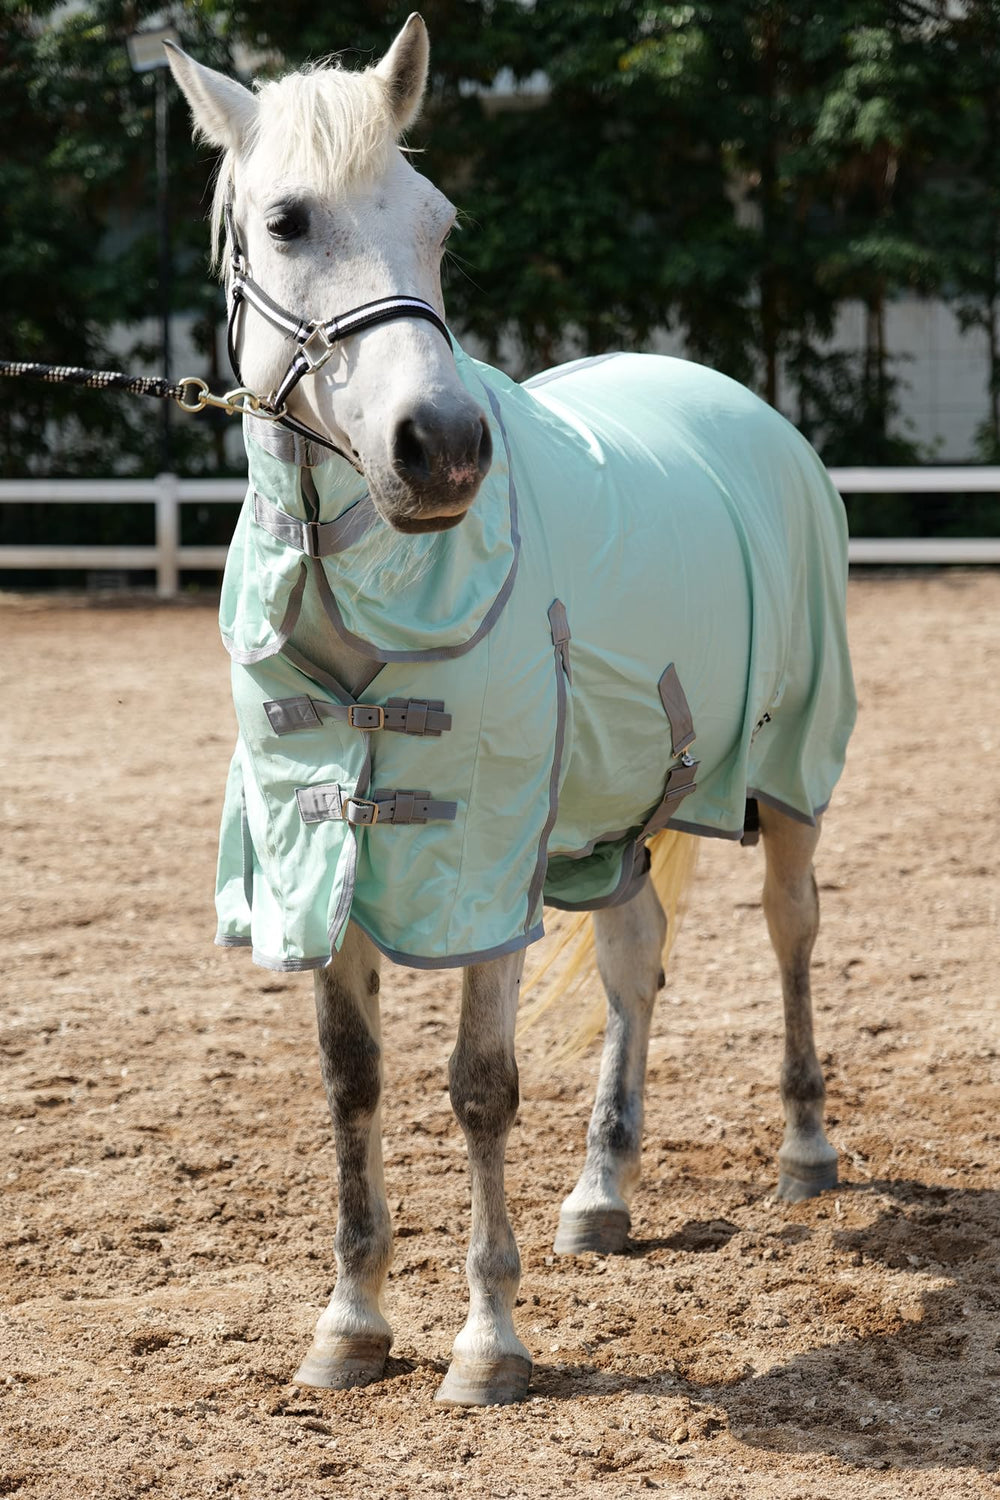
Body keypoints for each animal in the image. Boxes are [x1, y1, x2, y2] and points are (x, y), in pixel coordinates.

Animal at [165, 13, 856, 1407]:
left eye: (440, 225)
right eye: (286, 219)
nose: (440, 446)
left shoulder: (482, 860)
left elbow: (479, 1086)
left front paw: (489, 1342)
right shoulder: (323, 849)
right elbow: (351, 1083)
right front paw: (351, 1324)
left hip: (786, 779)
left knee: (789, 933)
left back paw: (803, 1149)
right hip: (606, 822)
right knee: (637, 963)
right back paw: (601, 1192)